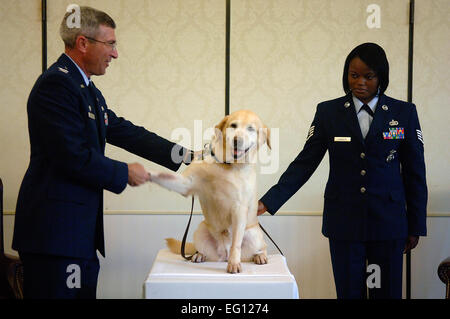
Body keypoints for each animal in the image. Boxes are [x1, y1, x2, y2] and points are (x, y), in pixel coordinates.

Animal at [151, 109, 270, 272]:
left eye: (251, 129)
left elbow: (236, 244)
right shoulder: (186, 183)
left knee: (261, 247)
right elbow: (163, 177)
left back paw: (259, 256)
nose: (237, 140)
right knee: (203, 250)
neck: (226, 165)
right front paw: (142, 173)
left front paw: (234, 263)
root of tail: (223, 253)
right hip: (201, 230)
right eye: (233, 125)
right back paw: (199, 255)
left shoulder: (239, 208)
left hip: (254, 234)